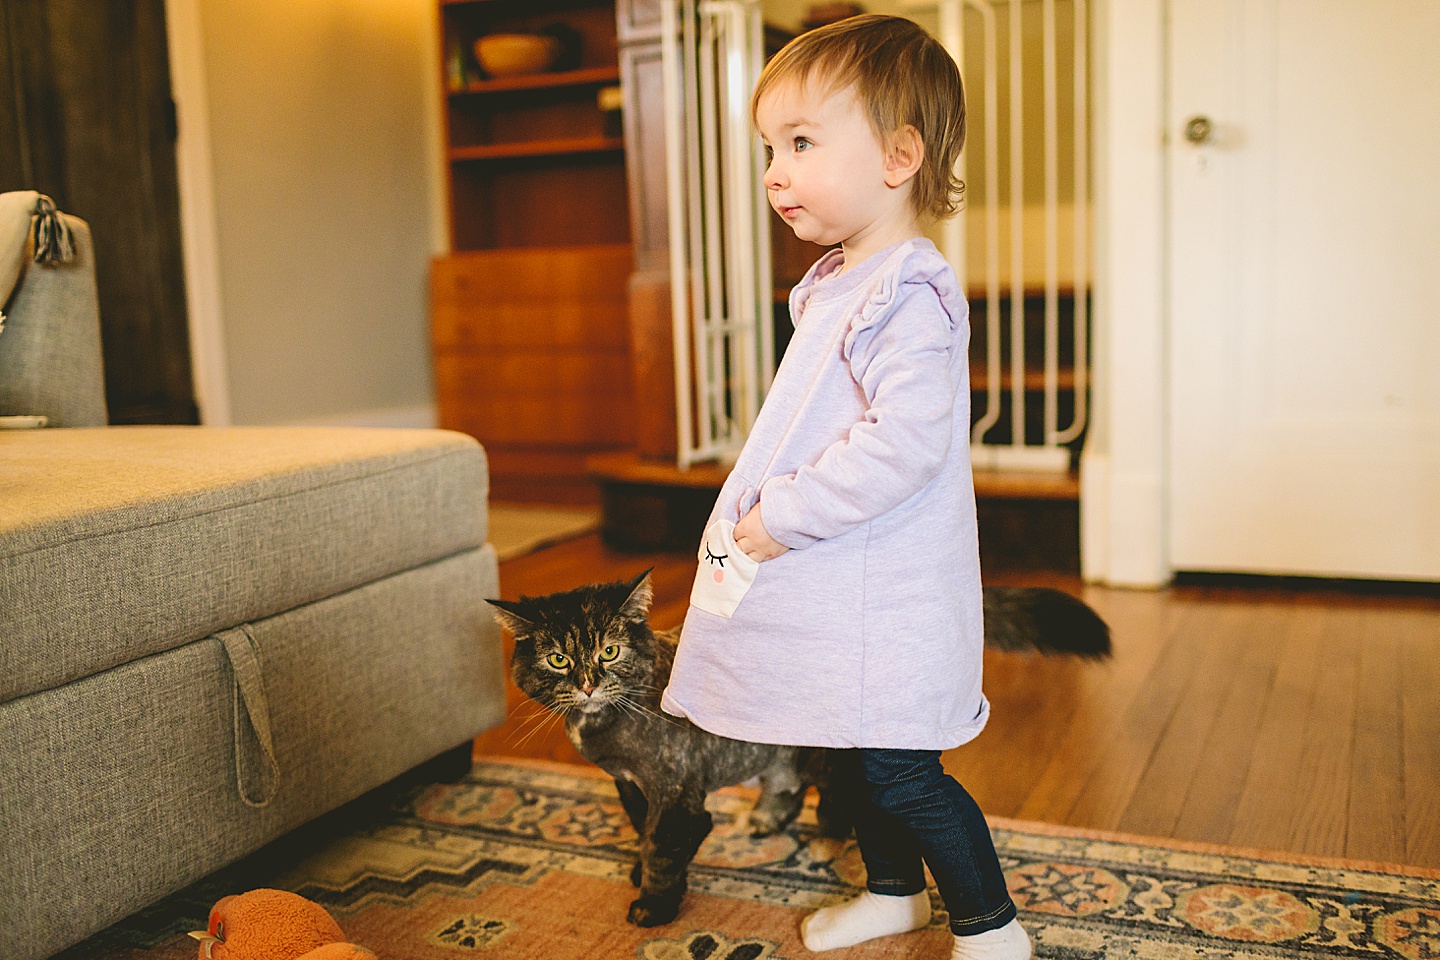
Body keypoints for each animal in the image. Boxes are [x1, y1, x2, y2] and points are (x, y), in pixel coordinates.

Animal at [489, 569, 1105, 921]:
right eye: (559, 659)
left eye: (609, 652)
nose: (588, 683)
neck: (607, 725)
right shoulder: (630, 786)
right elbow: (643, 835)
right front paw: (641, 876)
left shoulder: (678, 793)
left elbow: (664, 847)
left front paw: (654, 907)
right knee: (787, 787)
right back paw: (767, 821)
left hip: (836, 755)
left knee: (832, 795)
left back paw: (828, 837)